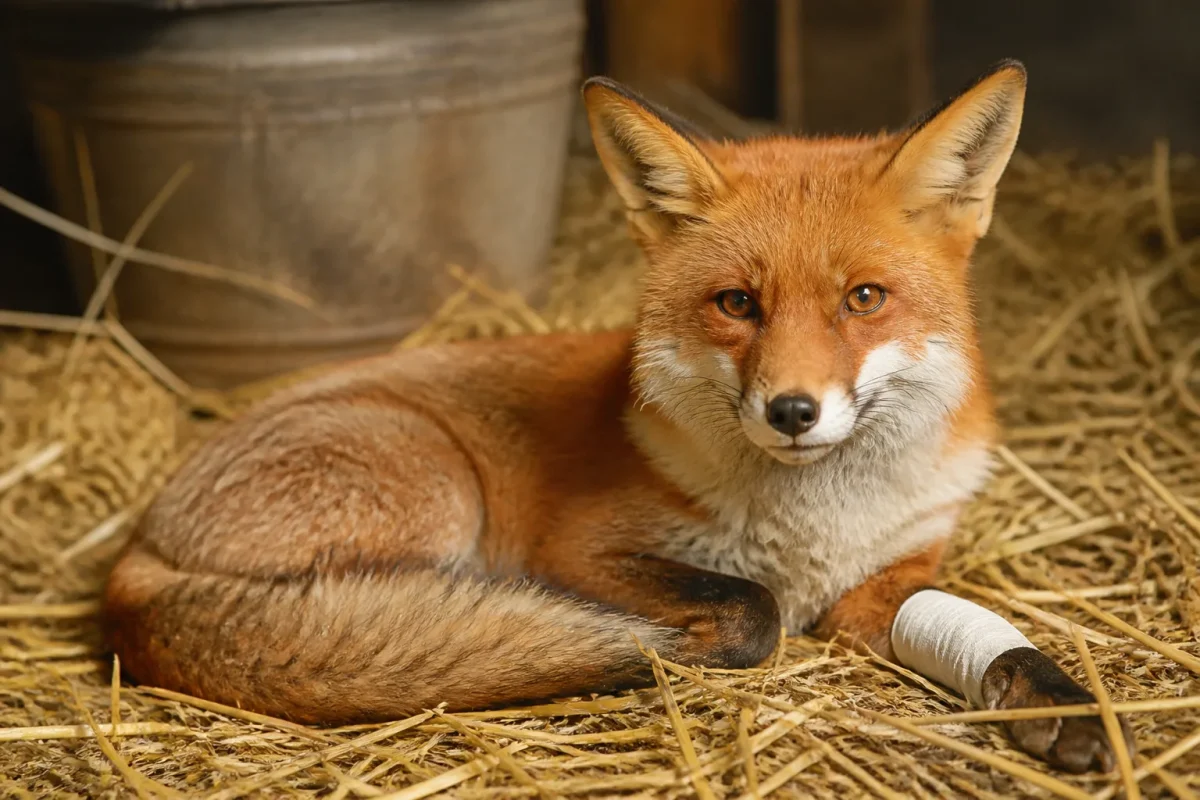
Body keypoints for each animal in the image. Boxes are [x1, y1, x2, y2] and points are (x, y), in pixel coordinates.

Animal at [104, 60, 1133, 773]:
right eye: (737, 304)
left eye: (864, 299)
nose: (792, 411)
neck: (812, 529)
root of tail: (133, 558)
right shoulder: (582, 549)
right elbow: (749, 606)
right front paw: (665, 643)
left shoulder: (892, 577)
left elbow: (973, 628)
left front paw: (1056, 700)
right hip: (439, 488)